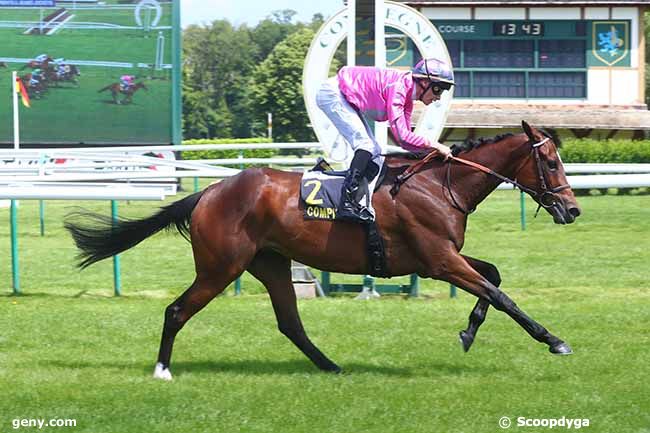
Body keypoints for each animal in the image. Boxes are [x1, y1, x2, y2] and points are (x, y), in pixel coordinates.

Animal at [66, 120, 580, 378]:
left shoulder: (442, 257)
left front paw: (469, 331)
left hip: (270, 264)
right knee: (176, 311)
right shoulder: (439, 260)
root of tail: (209, 192)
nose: (572, 210)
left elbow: (492, 276)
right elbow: (501, 294)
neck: (440, 184)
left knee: (290, 323)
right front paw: (554, 340)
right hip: (220, 267)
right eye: (552, 162)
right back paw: (161, 370)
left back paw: (332, 366)